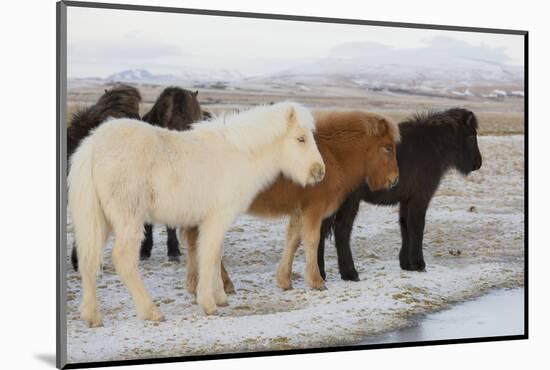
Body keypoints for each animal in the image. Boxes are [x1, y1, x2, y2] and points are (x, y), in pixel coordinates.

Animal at [69, 102, 328, 326]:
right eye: (301, 138)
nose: (319, 171)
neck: (238, 155)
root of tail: (92, 145)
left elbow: (215, 254)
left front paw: (220, 297)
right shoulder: (217, 218)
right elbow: (210, 255)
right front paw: (209, 303)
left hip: (101, 220)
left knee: (87, 259)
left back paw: (92, 316)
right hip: (129, 219)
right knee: (123, 259)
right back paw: (150, 311)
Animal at [185, 109, 402, 292]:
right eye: (388, 148)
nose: (394, 179)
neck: (332, 155)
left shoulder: (300, 210)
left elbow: (293, 241)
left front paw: (284, 280)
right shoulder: (313, 210)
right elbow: (312, 241)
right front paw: (316, 281)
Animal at [320, 108, 484, 282]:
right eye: (472, 135)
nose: (478, 163)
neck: (432, 146)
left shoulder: (406, 199)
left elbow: (405, 227)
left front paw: (407, 264)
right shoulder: (420, 198)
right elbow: (417, 227)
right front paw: (419, 264)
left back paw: (323, 273)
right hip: (349, 201)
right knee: (341, 231)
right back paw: (349, 273)